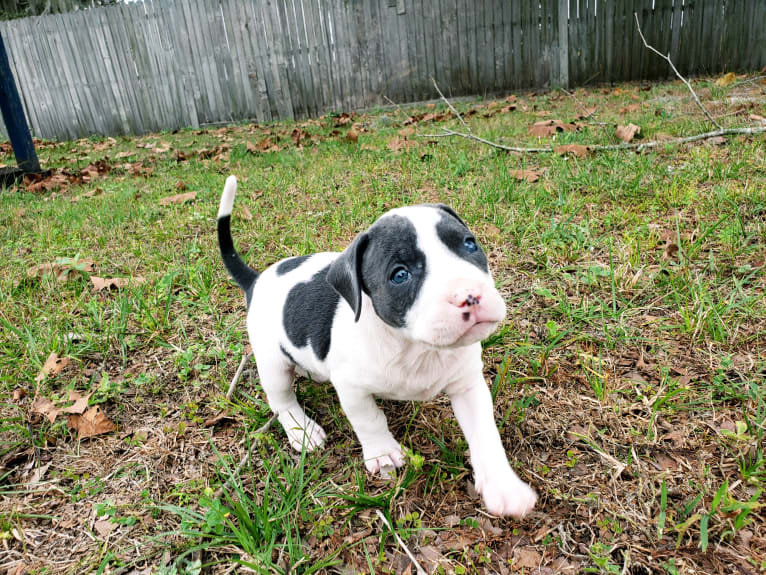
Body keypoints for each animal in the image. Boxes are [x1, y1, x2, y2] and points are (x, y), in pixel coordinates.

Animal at [218, 176, 540, 516]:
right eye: (400, 275)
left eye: (469, 244)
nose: (470, 295)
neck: (415, 348)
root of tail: (256, 280)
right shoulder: (351, 388)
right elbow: (369, 419)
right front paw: (383, 452)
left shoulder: (468, 385)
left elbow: (484, 432)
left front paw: (503, 486)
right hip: (272, 362)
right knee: (280, 399)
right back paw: (301, 430)